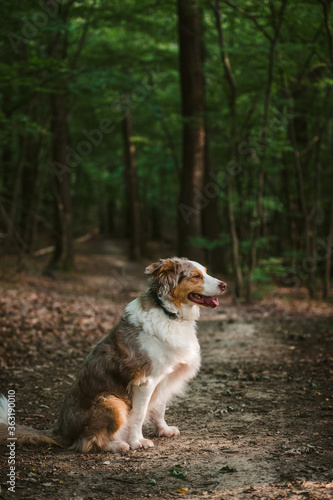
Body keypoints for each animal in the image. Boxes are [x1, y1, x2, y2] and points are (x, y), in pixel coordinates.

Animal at [0, 258, 226, 454]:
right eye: (196, 276)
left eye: (206, 272)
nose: (224, 285)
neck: (168, 313)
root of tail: (61, 432)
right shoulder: (145, 381)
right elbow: (139, 415)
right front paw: (138, 441)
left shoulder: (163, 377)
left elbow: (159, 408)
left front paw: (163, 430)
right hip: (111, 401)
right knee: (86, 442)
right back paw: (116, 445)